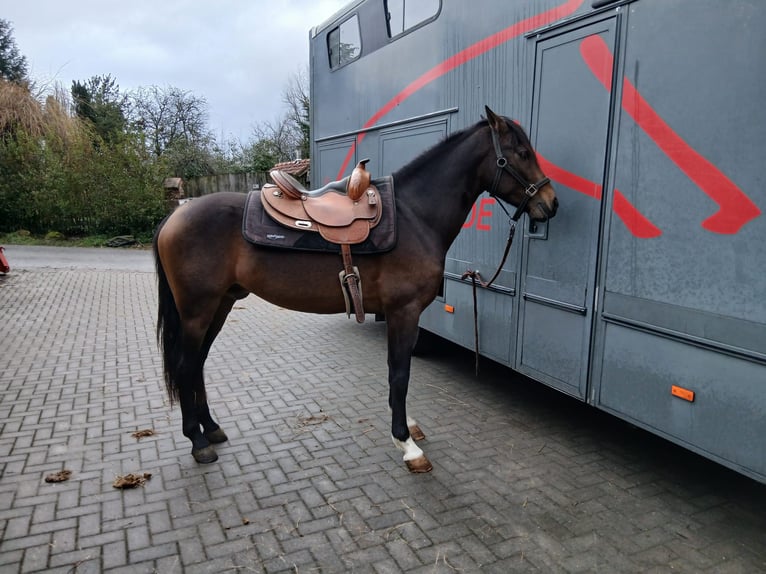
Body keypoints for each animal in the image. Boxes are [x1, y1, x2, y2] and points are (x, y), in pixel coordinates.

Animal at [153, 106, 558, 473]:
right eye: (522, 152)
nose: (550, 203)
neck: (414, 216)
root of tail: (175, 216)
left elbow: (400, 371)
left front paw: (408, 427)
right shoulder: (404, 311)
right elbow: (399, 372)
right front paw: (405, 443)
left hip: (220, 306)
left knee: (199, 364)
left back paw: (212, 428)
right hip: (197, 311)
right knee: (187, 365)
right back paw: (199, 442)